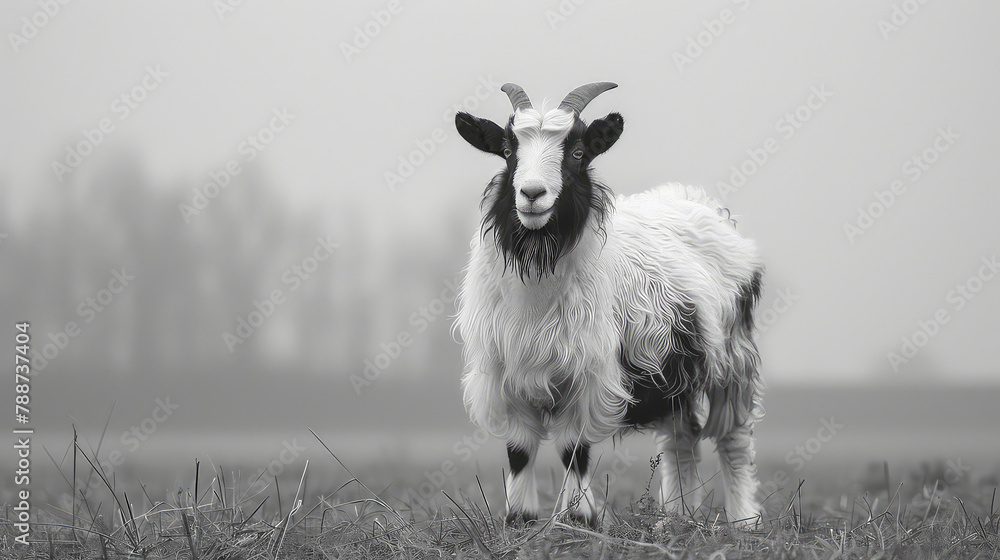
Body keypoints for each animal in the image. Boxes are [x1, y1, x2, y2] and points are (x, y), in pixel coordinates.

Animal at [453, 82, 765, 526]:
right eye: (509, 151)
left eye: (578, 152)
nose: (532, 194)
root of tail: (702, 204)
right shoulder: (505, 375)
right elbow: (520, 451)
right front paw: (520, 519)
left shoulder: (588, 373)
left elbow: (573, 449)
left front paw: (580, 519)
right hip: (674, 371)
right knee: (681, 440)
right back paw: (677, 519)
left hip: (733, 358)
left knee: (733, 439)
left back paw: (743, 522)